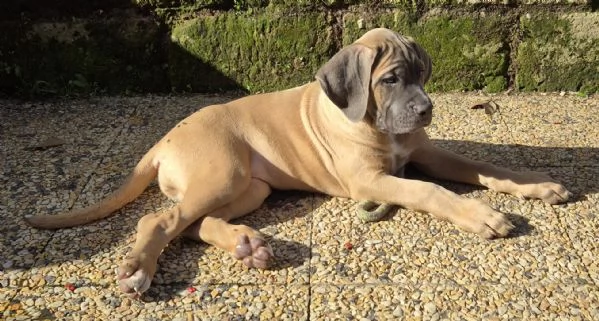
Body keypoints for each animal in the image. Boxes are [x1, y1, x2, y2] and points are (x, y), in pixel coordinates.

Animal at [24, 28, 572, 296]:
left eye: (422, 74)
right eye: (391, 79)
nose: (426, 110)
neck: (372, 121)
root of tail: (161, 141)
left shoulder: (425, 151)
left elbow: (486, 168)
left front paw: (537, 185)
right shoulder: (371, 180)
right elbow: (430, 190)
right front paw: (481, 216)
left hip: (250, 187)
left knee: (193, 223)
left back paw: (247, 246)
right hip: (224, 172)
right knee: (158, 218)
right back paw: (139, 269)